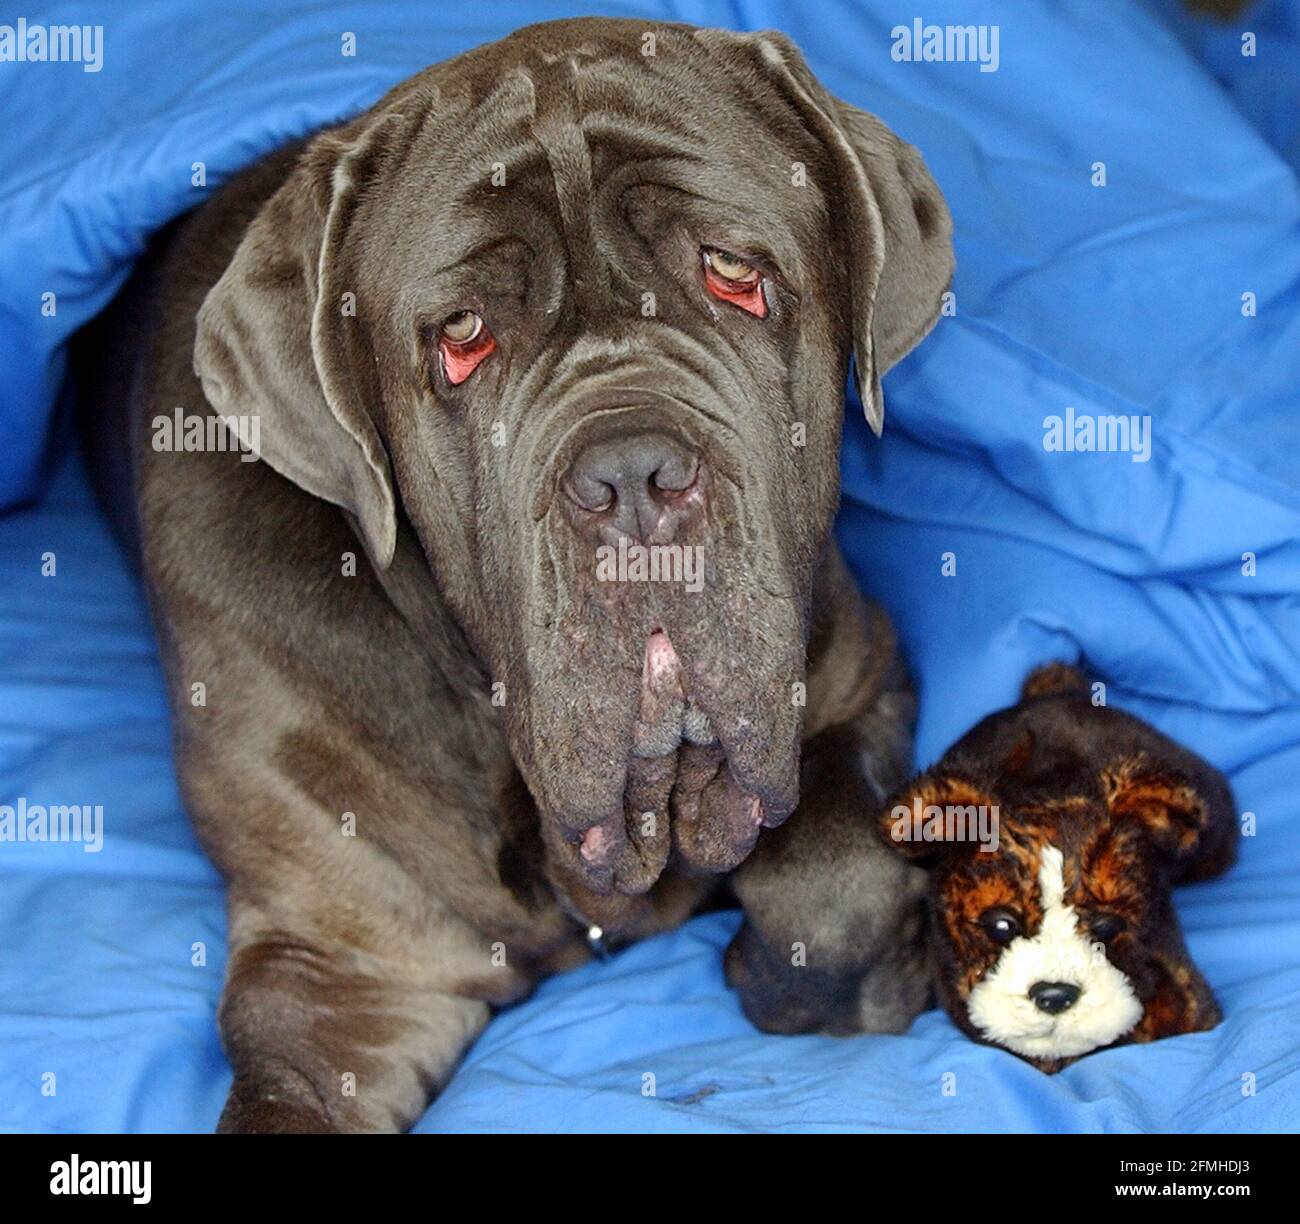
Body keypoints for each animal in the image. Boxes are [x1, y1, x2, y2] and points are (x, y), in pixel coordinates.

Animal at [78, 16, 956, 1133]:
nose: (631, 476)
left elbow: (835, 872)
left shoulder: (859, 672)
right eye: (461, 336)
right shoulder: (346, 970)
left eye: (732, 270)